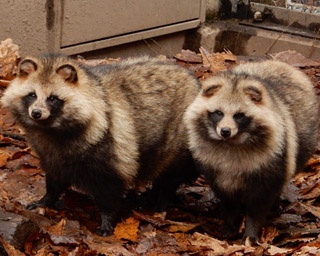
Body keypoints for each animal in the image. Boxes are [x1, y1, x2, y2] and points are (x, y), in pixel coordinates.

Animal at [0, 54, 200, 236]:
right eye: (32, 95)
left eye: (53, 98)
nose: (36, 113)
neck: (51, 130)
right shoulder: (51, 154)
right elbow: (55, 176)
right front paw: (47, 198)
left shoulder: (111, 147)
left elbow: (110, 189)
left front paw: (107, 218)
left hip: (180, 139)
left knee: (169, 174)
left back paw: (161, 200)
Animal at [184, 60, 318, 244]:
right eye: (218, 113)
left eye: (239, 116)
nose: (225, 131)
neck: (231, 143)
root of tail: (281, 64)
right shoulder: (214, 166)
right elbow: (228, 199)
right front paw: (231, 221)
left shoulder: (271, 161)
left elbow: (259, 202)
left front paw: (251, 231)